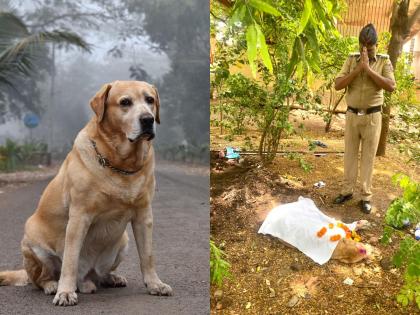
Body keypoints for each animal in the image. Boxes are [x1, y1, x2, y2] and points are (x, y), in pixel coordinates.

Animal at [0, 81, 172, 306]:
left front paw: (155, 284)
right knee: (40, 278)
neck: (121, 164)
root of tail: (86, 278)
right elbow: (70, 261)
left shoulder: (144, 215)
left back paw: (109, 278)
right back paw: (53, 285)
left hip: (122, 242)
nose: (148, 119)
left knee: (99, 275)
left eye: (150, 100)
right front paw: (64, 292)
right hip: (33, 243)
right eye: (125, 102)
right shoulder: (79, 216)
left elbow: (148, 256)